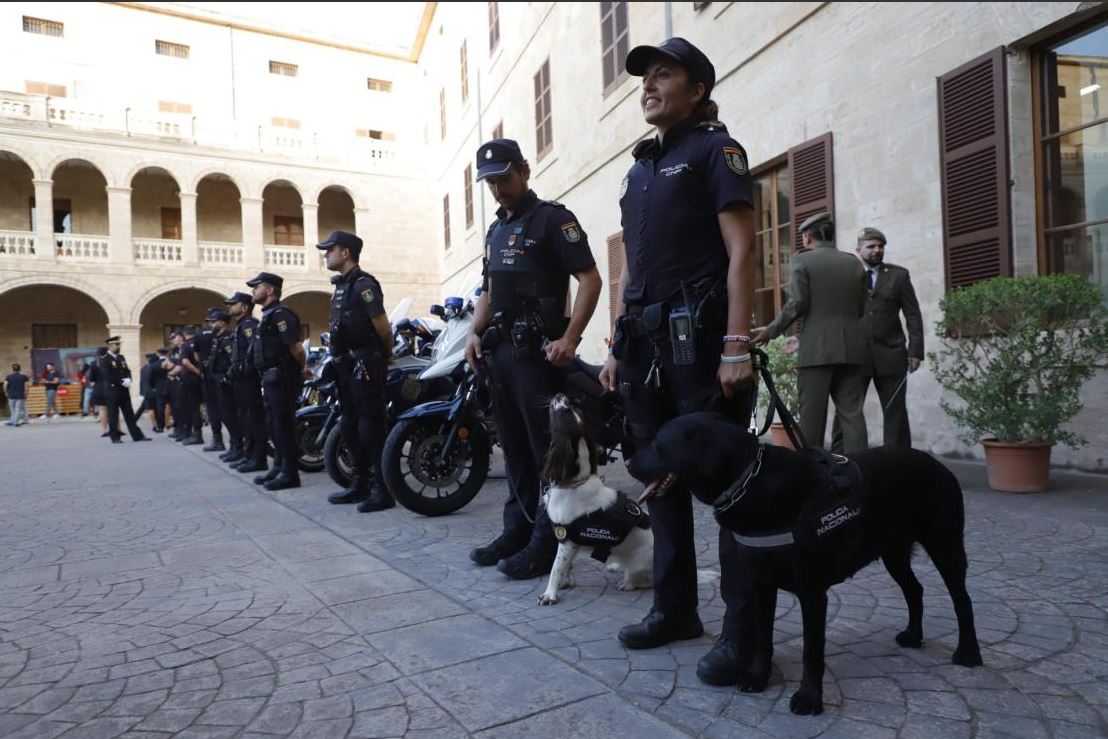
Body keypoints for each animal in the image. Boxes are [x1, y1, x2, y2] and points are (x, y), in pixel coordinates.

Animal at [629, 414, 983, 713]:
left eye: (658, 446)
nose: (630, 461)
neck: (749, 481)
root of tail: (936, 463)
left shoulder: (812, 592)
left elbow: (811, 652)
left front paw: (809, 698)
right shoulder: (760, 583)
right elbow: (763, 638)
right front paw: (757, 677)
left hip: (945, 545)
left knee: (962, 600)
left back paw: (968, 653)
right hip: (893, 552)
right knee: (915, 590)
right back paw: (913, 635)